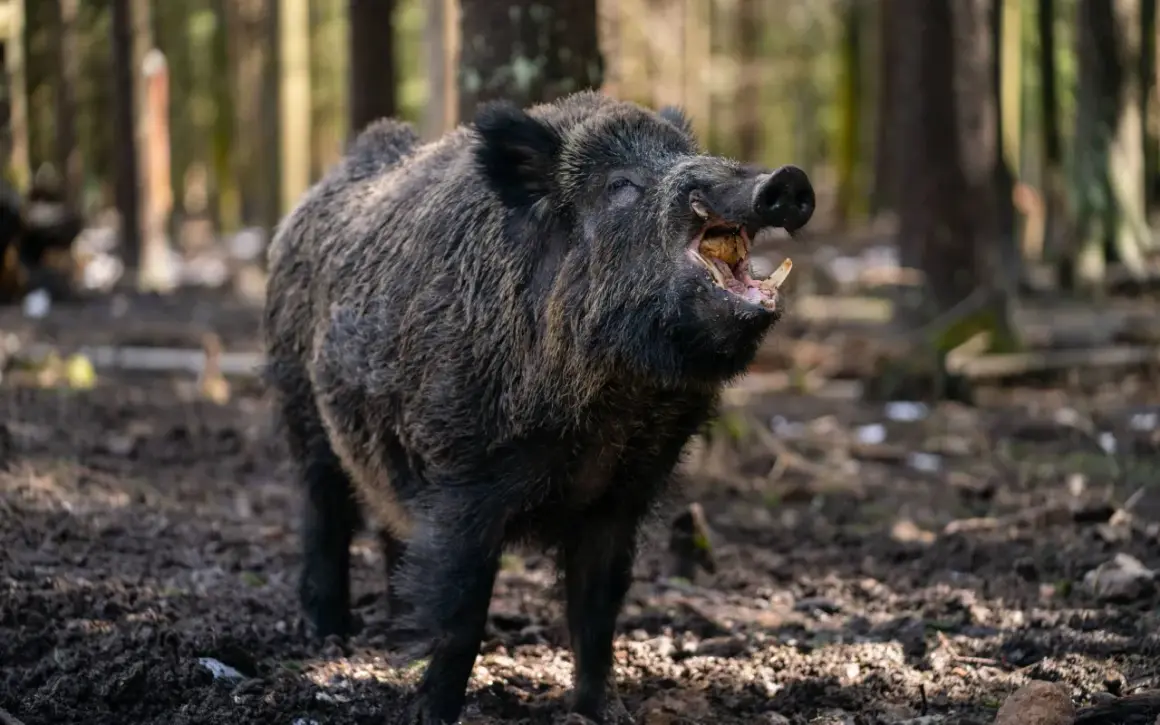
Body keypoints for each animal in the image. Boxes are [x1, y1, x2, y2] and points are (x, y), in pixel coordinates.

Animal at [261, 90, 814, 724]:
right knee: (324, 514)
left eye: (687, 154)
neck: (614, 406)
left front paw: (608, 713)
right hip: (300, 406)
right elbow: (461, 613)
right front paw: (432, 713)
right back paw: (330, 637)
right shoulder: (463, 475)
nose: (785, 180)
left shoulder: (625, 492)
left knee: (392, 531)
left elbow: (598, 610)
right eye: (621, 185)